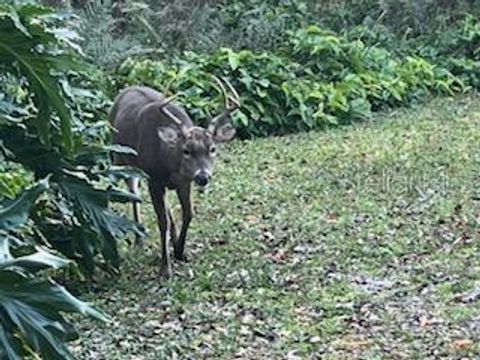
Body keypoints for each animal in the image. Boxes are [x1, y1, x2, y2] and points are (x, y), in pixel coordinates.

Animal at [109, 77, 240, 278]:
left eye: (212, 149)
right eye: (186, 150)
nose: (203, 177)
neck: (168, 159)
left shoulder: (184, 181)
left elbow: (188, 213)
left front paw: (180, 251)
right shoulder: (153, 179)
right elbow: (161, 221)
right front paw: (165, 268)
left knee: (166, 206)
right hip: (121, 159)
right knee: (133, 193)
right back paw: (139, 241)